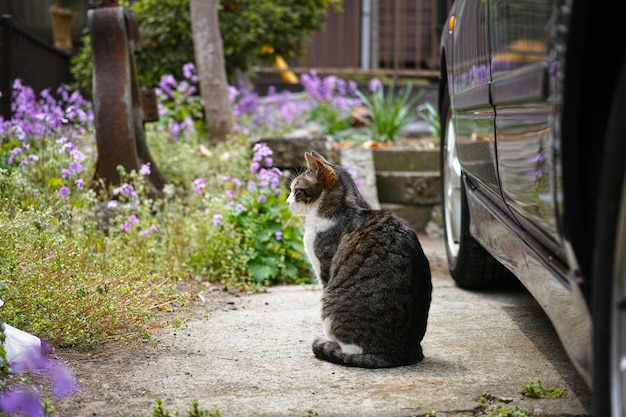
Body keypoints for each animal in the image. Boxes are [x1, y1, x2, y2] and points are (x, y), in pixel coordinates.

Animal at [286, 150, 432, 368]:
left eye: (296, 190)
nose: (287, 203)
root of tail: (399, 353)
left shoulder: (325, 270)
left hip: (331, 303)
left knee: (350, 348)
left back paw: (332, 345)